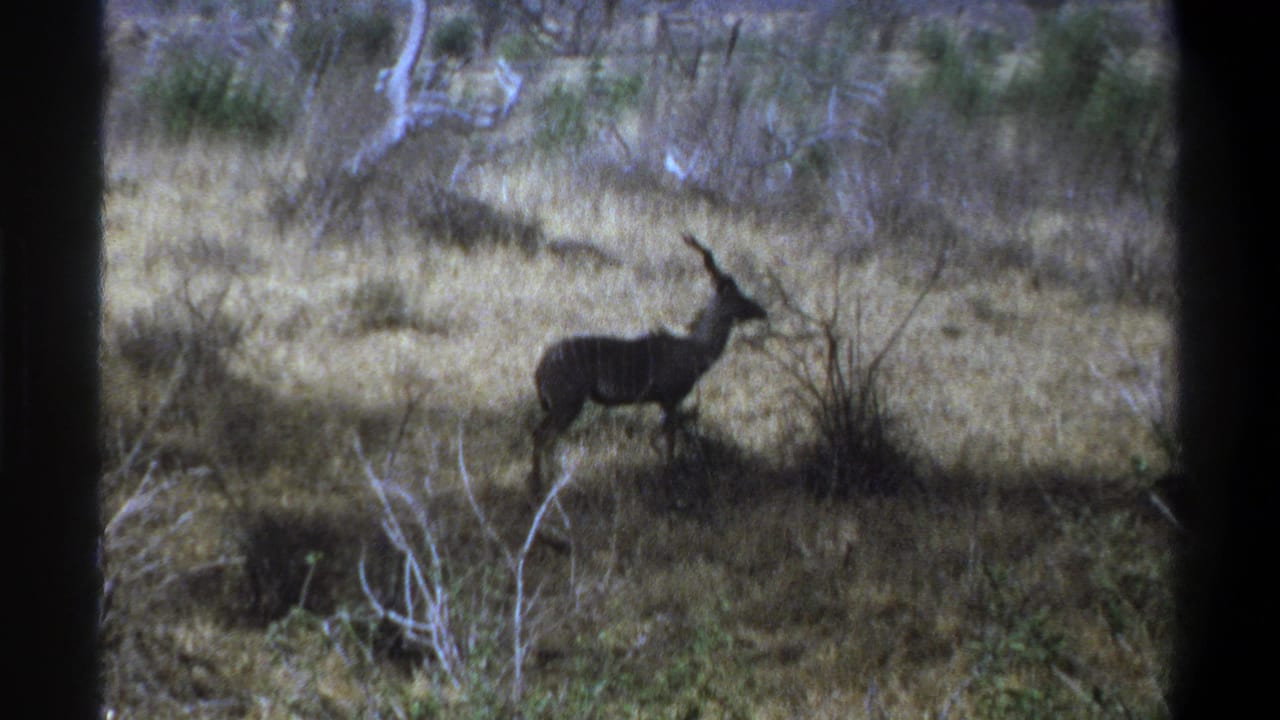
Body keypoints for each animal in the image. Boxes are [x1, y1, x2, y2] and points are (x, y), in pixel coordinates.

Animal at [527, 234, 767, 499]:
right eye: (737, 297)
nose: (762, 311)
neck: (694, 349)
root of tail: (540, 368)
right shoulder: (671, 399)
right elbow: (669, 441)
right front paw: (668, 484)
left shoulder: (663, 402)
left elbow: (662, 439)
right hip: (568, 404)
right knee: (544, 437)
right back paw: (543, 488)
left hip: (561, 406)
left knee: (539, 434)